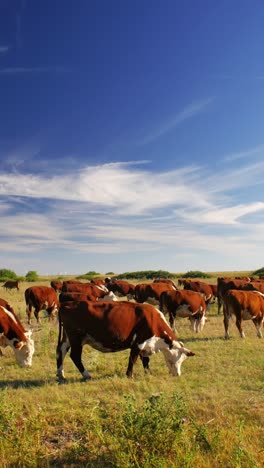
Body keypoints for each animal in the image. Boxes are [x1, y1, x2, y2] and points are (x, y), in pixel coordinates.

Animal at [56, 300, 195, 384]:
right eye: (180, 359)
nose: (178, 374)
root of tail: (67, 304)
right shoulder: (138, 343)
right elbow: (132, 359)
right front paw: (129, 375)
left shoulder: (145, 345)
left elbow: (145, 360)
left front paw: (148, 373)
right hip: (76, 338)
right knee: (75, 356)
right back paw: (86, 375)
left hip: (67, 338)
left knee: (60, 351)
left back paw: (61, 374)